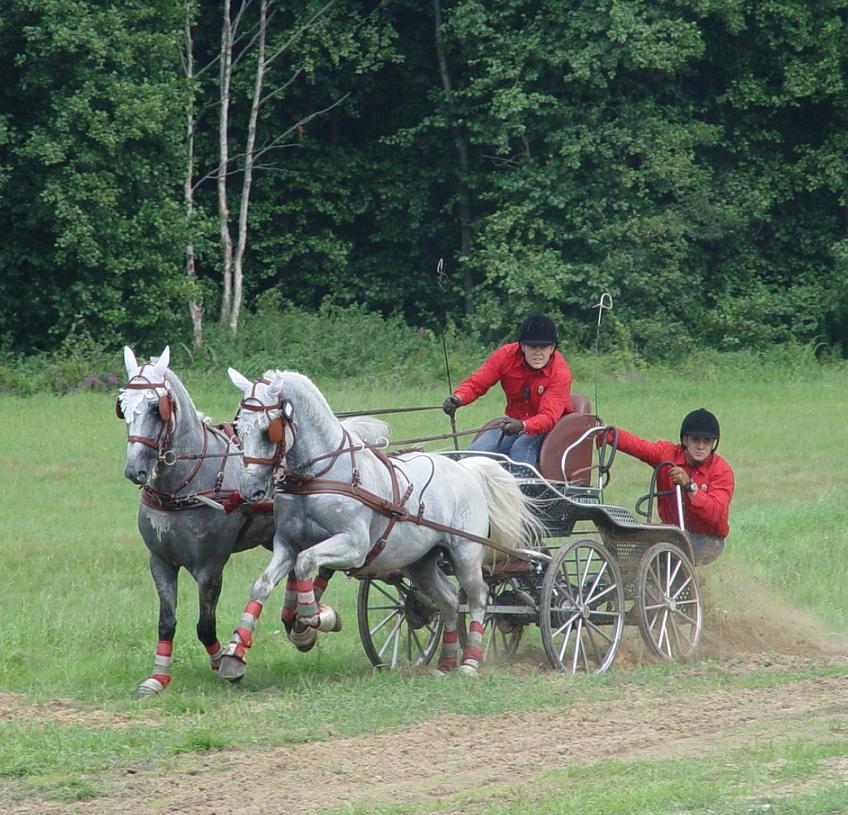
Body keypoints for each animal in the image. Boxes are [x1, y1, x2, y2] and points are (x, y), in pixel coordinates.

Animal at [219, 366, 548, 680]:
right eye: (239, 428)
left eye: (268, 431)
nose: (250, 490)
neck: (321, 474)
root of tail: (465, 467)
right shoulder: (286, 544)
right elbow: (263, 584)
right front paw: (235, 653)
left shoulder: (354, 546)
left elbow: (305, 563)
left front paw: (315, 621)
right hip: (420, 562)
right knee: (449, 600)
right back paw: (445, 662)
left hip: (466, 552)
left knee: (478, 598)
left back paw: (469, 662)